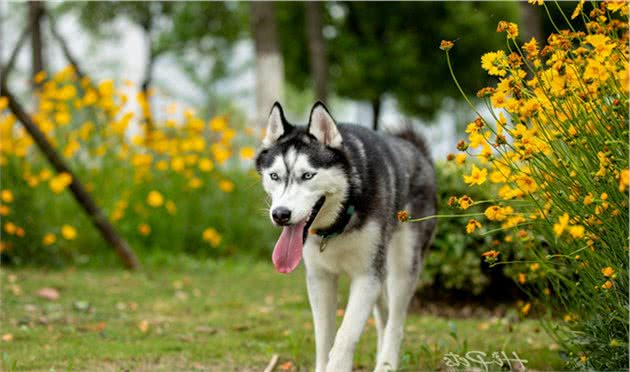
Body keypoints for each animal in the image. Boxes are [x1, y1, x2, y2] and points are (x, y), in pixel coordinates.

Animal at [254, 101, 436, 372]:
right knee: (384, 316)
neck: (339, 222)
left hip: (402, 267)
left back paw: (386, 363)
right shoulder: (321, 278)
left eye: (308, 175)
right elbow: (324, 339)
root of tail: (416, 150)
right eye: (274, 176)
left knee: (395, 322)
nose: (280, 214)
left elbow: (344, 337)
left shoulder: (367, 277)